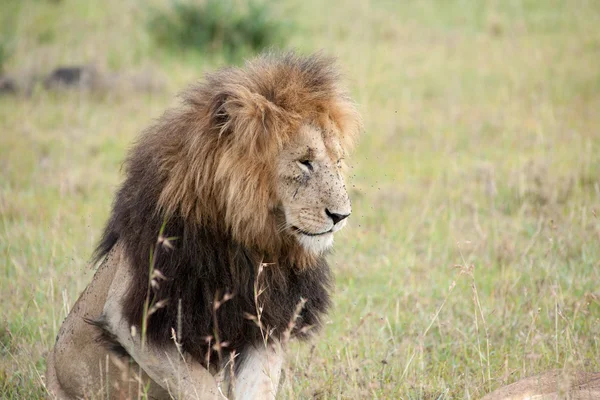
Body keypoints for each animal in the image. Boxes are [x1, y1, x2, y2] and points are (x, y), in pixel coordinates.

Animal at [45, 53, 360, 400]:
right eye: (305, 162)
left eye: (338, 162)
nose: (342, 215)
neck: (245, 239)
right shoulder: (132, 315)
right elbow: (203, 389)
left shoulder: (265, 320)